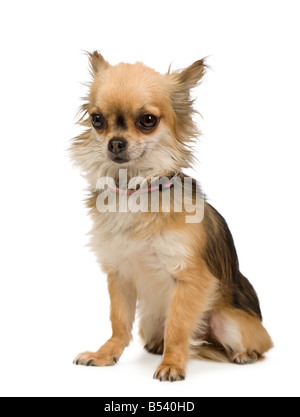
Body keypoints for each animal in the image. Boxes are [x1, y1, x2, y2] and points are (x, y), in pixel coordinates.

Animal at [71, 52, 274, 380]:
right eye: (96, 119)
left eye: (148, 120)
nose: (115, 142)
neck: (136, 190)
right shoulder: (119, 275)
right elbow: (119, 323)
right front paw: (105, 354)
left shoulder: (191, 279)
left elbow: (178, 328)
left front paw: (172, 364)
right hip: (150, 319)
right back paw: (158, 346)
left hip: (226, 319)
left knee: (250, 345)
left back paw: (243, 354)